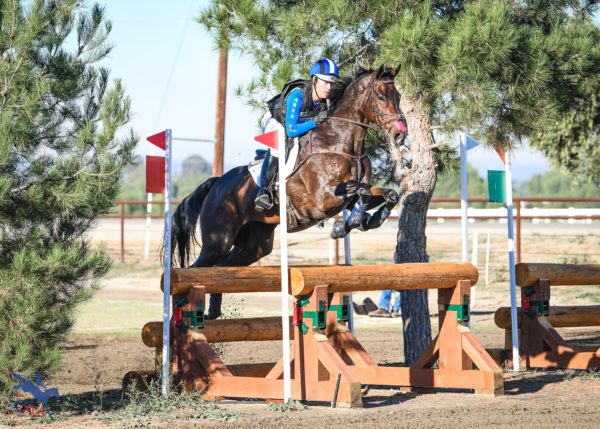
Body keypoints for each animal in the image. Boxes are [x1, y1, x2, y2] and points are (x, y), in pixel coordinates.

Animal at [172, 63, 408, 318]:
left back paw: (213, 312)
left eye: (399, 96)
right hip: (217, 241)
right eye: (381, 96)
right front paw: (345, 225)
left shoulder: (351, 194)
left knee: (222, 270)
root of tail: (217, 184)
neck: (341, 142)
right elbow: (362, 192)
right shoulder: (322, 198)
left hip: (255, 245)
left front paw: (367, 220)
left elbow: (387, 194)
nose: (400, 134)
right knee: (195, 270)